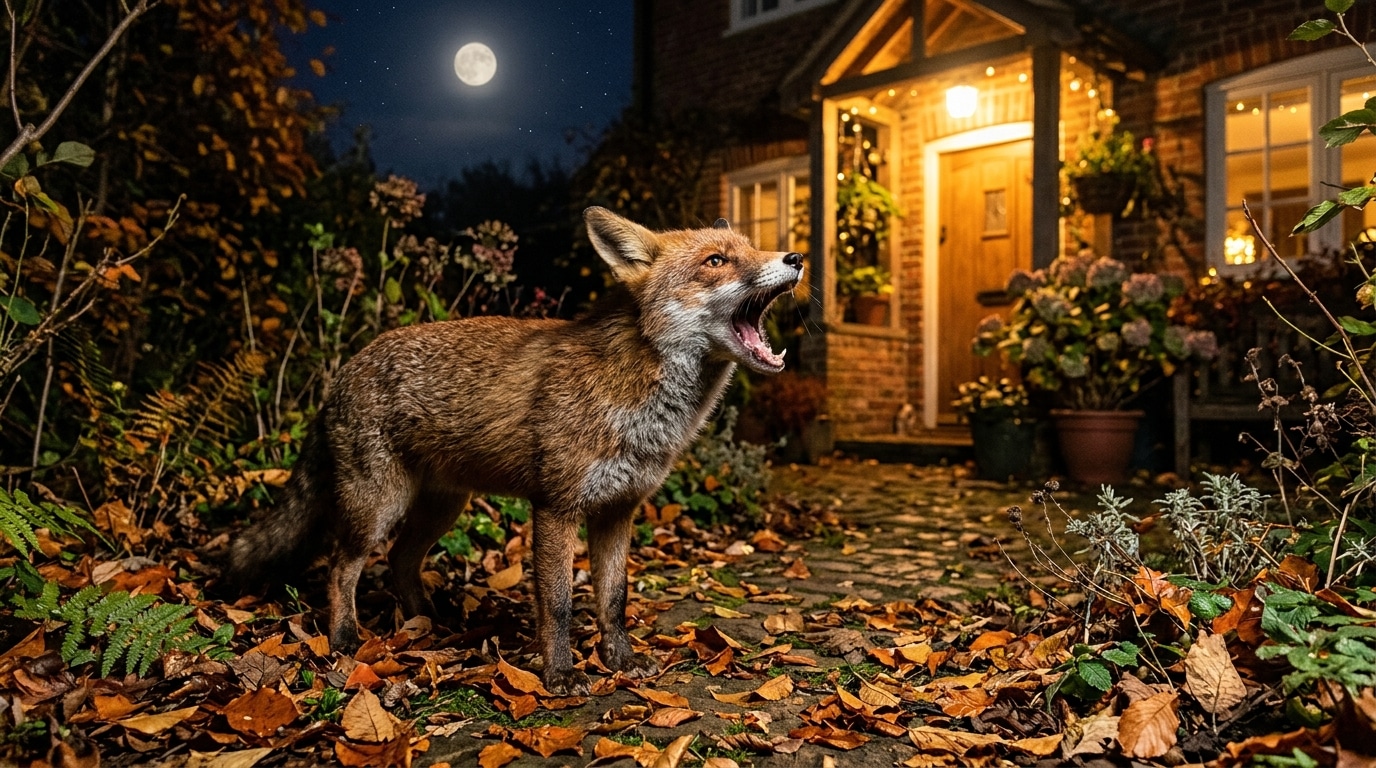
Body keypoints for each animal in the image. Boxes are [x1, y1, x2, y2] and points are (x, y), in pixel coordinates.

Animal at [224, 206, 803, 694]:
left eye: (751, 247)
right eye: (716, 261)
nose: (796, 258)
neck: (639, 399)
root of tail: (342, 371)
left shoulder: (618, 511)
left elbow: (614, 600)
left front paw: (620, 661)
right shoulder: (556, 507)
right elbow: (559, 603)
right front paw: (560, 674)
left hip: (442, 508)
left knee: (401, 560)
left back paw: (428, 623)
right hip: (378, 507)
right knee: (341, 567)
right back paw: (346, 636)